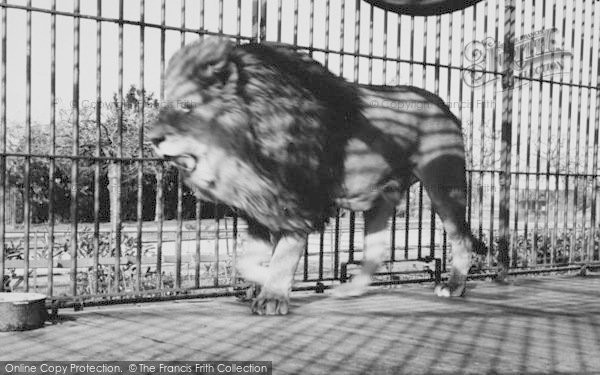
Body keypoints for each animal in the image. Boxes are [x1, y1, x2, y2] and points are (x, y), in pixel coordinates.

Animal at [149, 37, 482, 314]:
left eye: (187, 106)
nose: (152, 137)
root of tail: (443, 105)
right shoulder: (261, 207)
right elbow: (244, 261)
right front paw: (269, 282)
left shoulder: (301, 201)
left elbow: (283, 255)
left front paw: (273, 296)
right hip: (381, 197)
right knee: (377, 250)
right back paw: (348, 291)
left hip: (444, 183)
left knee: (462, 238)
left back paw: (453, 286)